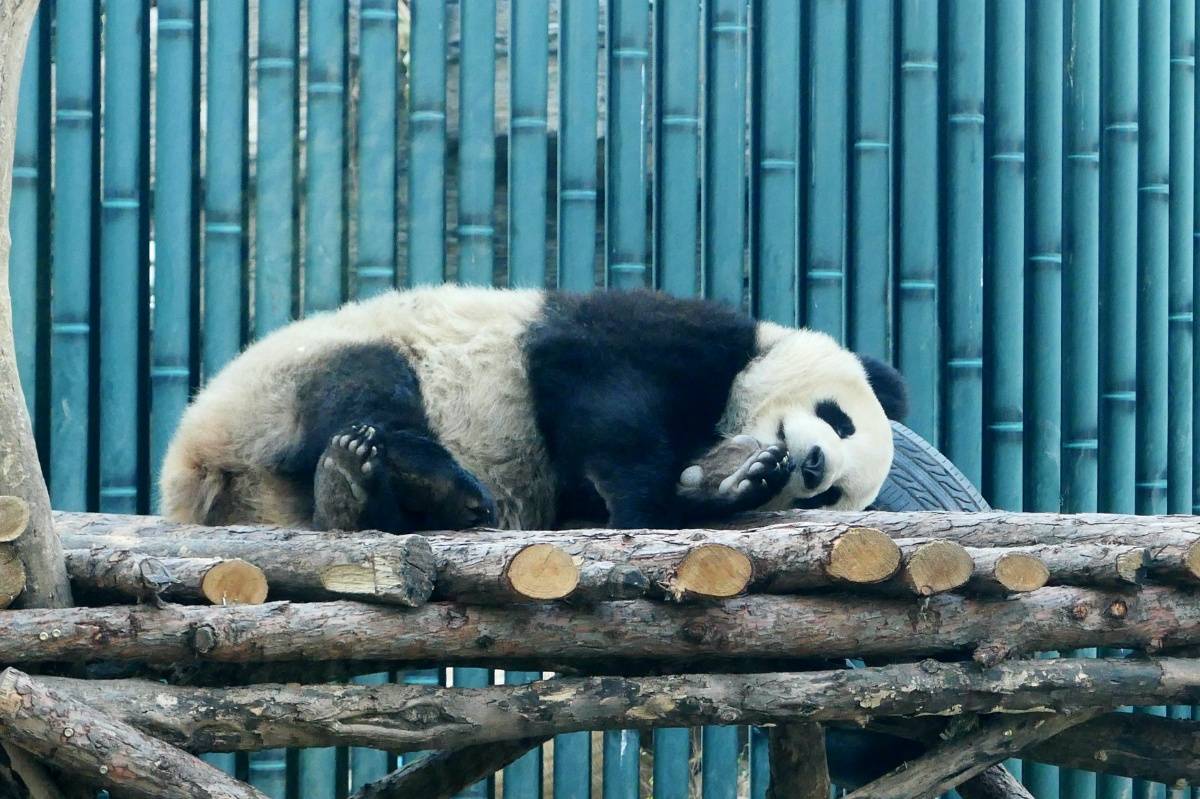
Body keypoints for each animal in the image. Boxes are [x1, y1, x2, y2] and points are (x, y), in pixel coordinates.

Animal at [162, 283, 907, 532]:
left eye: (829, 496)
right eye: (839, 417)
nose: (812, 464)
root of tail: (196, 465)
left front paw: (734, 479)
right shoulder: (660, 334)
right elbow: (597, 389)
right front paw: (647, 501)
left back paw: (363, 497)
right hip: (294, 372)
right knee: (368, 388)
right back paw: (419, 480)